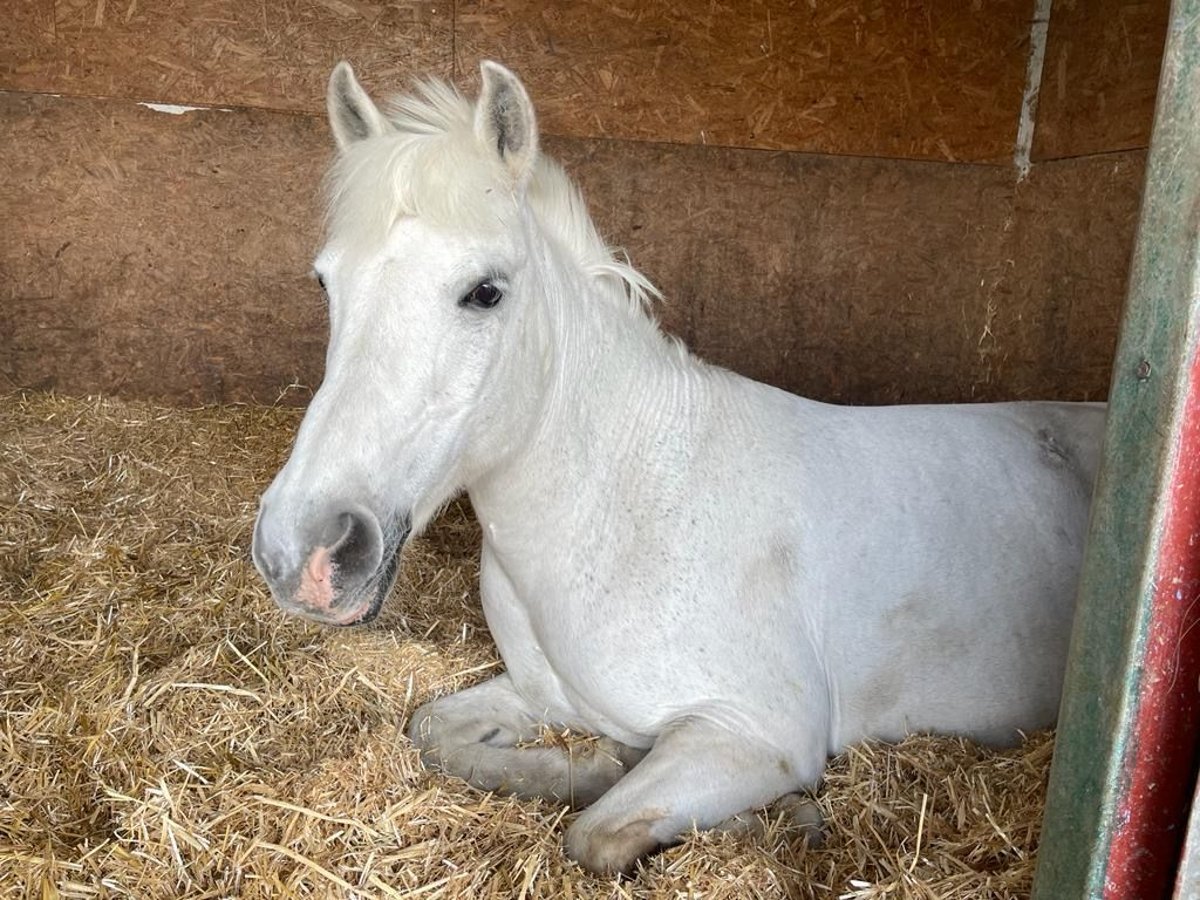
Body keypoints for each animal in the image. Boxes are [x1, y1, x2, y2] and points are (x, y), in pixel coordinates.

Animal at [253, 61, 1104, 873]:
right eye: (326, 282)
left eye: (485, 292)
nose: (305, 551)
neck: (625, 508)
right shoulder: (540, 694)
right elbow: (433, 730)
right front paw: (602, 762)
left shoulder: (753, 735)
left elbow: (594, 833)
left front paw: (782, 818)